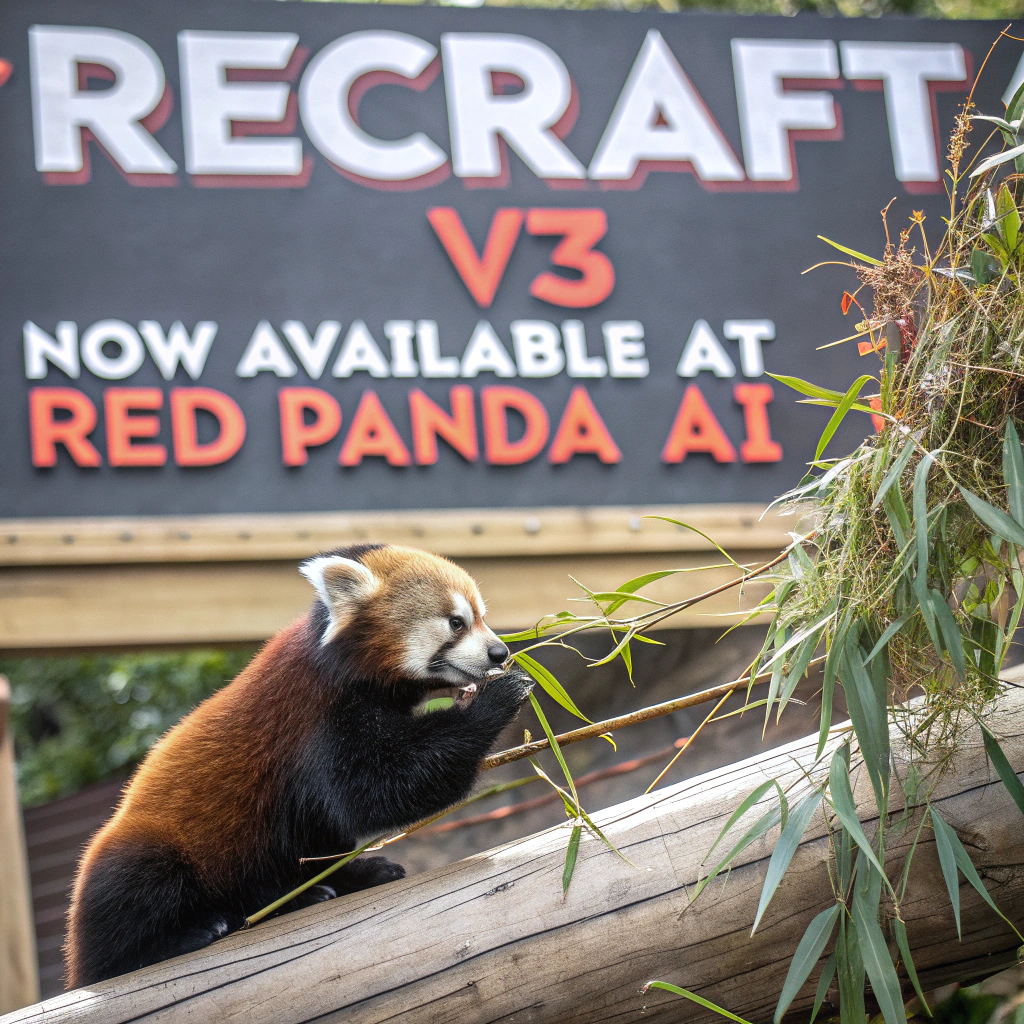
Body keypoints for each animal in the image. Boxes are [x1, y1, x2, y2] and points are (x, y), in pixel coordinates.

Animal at [63, 543, 532, 989]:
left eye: (481, 618)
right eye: (456, 623)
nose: (499, 651)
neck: (339, 663)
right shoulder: (316, 716)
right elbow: (373, 791)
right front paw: (494, 700)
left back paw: (330, 883)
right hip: (146, 854)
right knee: (131, 906)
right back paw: (185, 936)